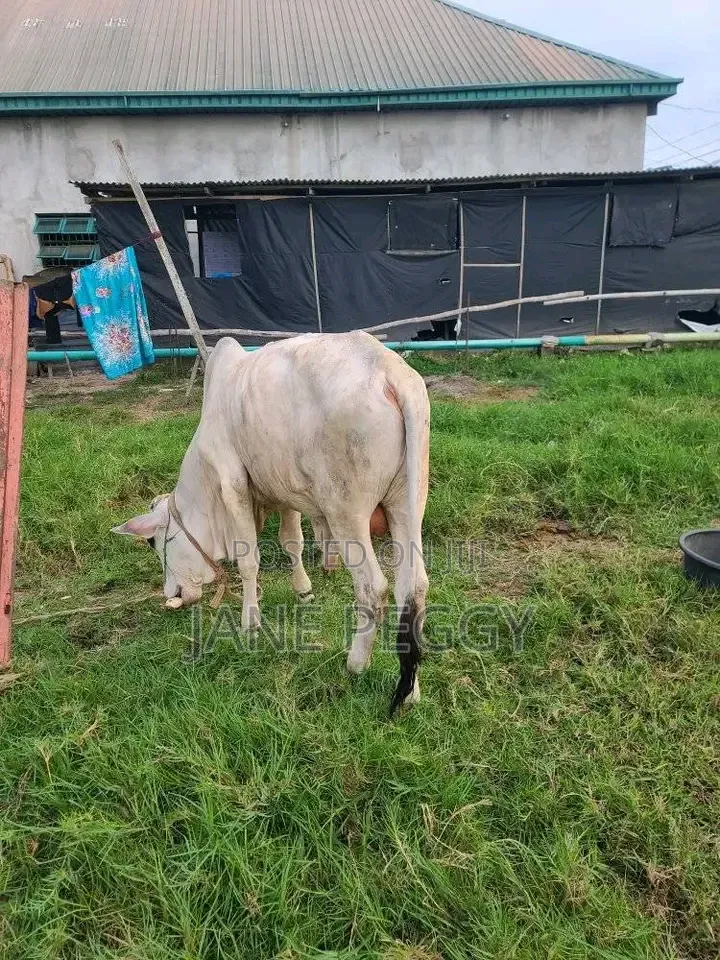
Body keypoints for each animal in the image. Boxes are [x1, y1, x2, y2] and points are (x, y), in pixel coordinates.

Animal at [112, 332, 430, 714]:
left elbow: (249, 559)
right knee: (412, 587)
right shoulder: (285, 491)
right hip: (408, 503)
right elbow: (292, 541)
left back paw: (355, 663)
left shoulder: (233, 482)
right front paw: (303, 590)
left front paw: (250, 622)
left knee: (373, 588)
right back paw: (411, 690)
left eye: (154, 541)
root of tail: (387, 369)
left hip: (346, 513)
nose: (170, 593)